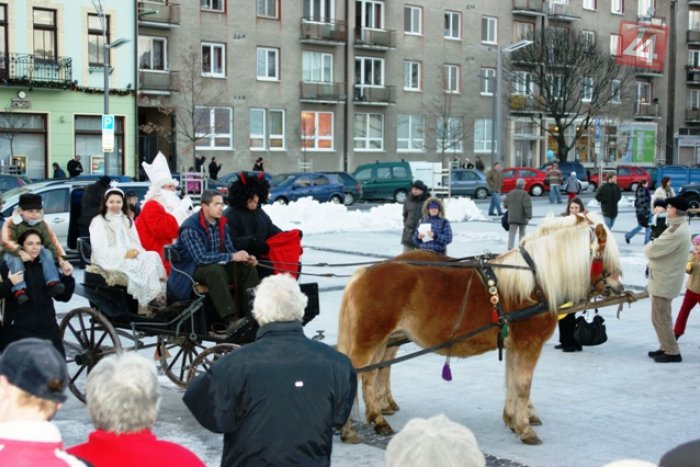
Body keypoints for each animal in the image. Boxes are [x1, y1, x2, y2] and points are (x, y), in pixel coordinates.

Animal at [338, 212, 624, 446]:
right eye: (606, 255)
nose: (619, 286)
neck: (534, 281)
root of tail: (364, 273)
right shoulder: (528, 344)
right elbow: (523, 384)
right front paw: (524, 428)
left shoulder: (513, 345)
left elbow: (512, 380)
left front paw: (512, 419)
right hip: (370, 339)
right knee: (357, 373)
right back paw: (349, 428)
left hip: (382, 339)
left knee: (371, 375)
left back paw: (377, 419)